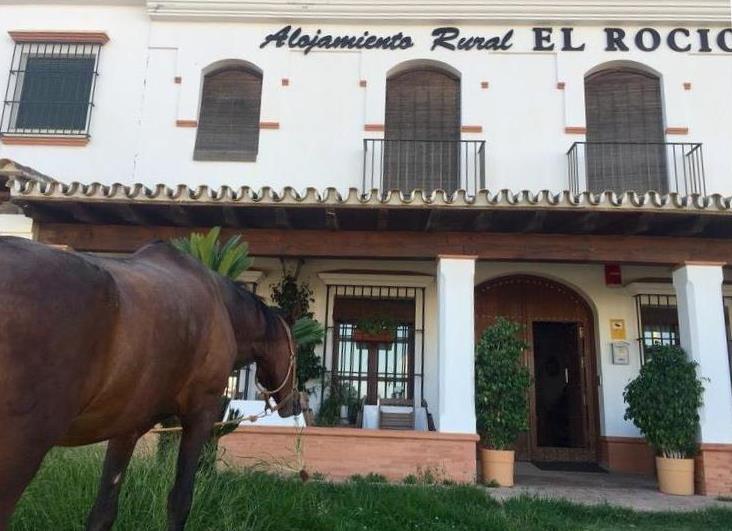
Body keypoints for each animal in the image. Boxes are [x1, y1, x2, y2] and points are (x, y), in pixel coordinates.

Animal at [0, 238, 298, 531]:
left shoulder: (126, 428)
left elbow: (103, 511)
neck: (221, 305)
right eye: (296, 348)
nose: (294, 404)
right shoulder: (201, 415)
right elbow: (180, 501)